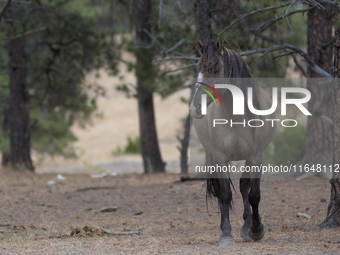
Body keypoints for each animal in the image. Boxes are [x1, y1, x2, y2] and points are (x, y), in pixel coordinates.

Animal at [189, 37, 276, 245]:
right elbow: (225, 194)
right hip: (212, 156)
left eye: (214, 68)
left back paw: (247, 226)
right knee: (220, 189)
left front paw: (256, 229)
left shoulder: (256, 157)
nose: (194, 107)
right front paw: (226, 233)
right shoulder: (221, 158)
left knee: (244, 186)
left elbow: (253, 194)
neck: (235, 117)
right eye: (197, 68)